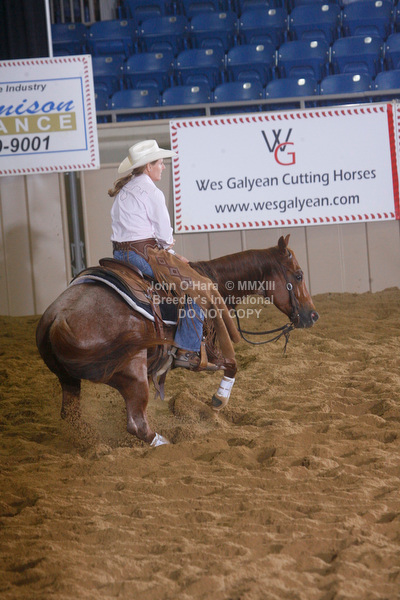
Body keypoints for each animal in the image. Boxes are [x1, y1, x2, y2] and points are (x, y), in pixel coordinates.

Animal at [36, 234, 319, 447]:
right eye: (299, 275)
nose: (312, 315)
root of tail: (58, 317)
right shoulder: (209, 354)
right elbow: (233, 365)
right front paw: (218, 400)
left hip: (68, 380)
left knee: (72, 416)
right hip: (133, 374)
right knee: (137, 423)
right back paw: (164, 442)